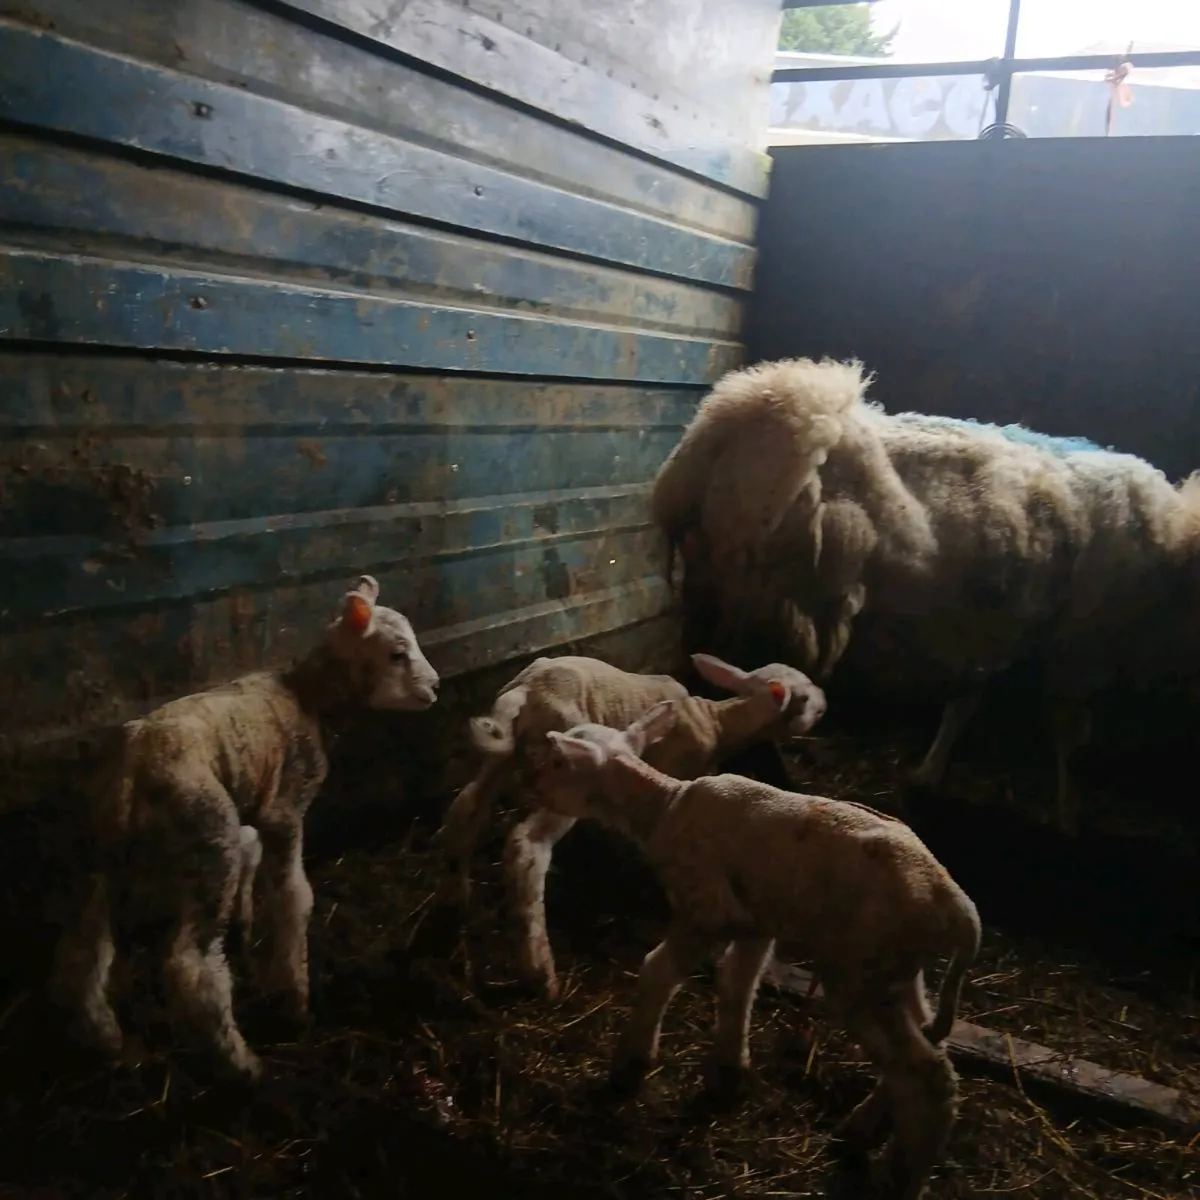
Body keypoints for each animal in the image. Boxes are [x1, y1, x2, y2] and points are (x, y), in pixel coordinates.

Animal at [48, 575, 439, 1081]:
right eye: (397, 653)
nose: (436, 687)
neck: (308, 695)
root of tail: (132, 768)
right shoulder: (284, 808)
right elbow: (294, 897)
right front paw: (293, 996)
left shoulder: (251, 805)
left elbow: (254, 857)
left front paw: (245, 924)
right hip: (208, 835)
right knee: (191, 967)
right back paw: (242, 1062)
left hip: (109, 853)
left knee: (85, 945)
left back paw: (106, 1037)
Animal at [434, 652, 827, 998]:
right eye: (804, 696)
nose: (824, 702)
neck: (716, 719)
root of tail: (525, 691)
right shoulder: (673, 765)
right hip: (566, 775)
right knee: (527, 843)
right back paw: (539, 971)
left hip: (502, 758)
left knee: (465, 807)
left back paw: (455, 895)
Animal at [534, 700, 981, 1200]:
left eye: (556, 762)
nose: (531, 785)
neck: (664, 806)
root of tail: (959, 908)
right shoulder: (755, 923)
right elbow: (737, 982)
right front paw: (728, 1071)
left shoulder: (703, 908)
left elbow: (657, 972)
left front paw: (629, 1067)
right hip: (900, 973)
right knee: (925, 1051)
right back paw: (859, 1130)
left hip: (862, 970)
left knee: (928, 1076)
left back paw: (898, 1176)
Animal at [651, 356, 1200, 833]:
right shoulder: (1081, 645)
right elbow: (1069, 735)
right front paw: (1067, 816)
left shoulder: (990, 629)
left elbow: (964, 704)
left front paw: (928, 773)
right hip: (773, 597)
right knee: (749, 682)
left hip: (713, 582)